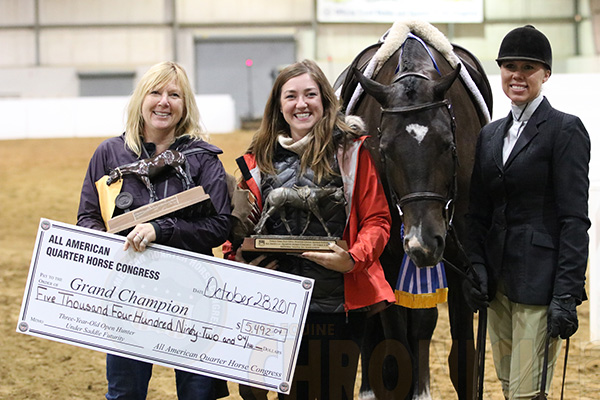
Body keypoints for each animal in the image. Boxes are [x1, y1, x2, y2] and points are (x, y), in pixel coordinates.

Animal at [332, 21, 492, 400]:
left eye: (449, 145)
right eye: (384, 150)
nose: (423, 242)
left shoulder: (462, 262)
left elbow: (463, 362)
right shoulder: (388, 259)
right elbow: (394, 362)